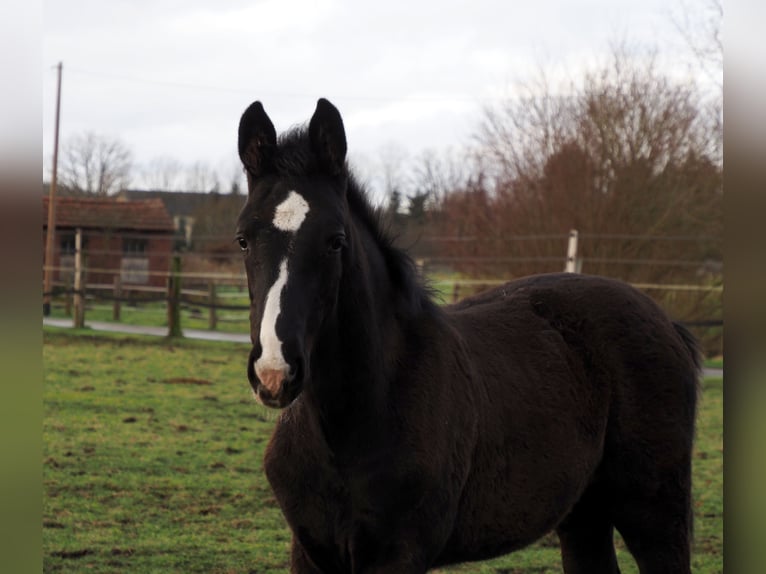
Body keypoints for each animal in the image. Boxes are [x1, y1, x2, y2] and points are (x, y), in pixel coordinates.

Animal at [234, 99, 704, 574]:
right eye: (242, 239)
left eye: (335, 241)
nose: (274, 373)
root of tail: (667, 323)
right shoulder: (310, 551)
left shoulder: (399, 554)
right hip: (583, 512)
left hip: (654, 510)